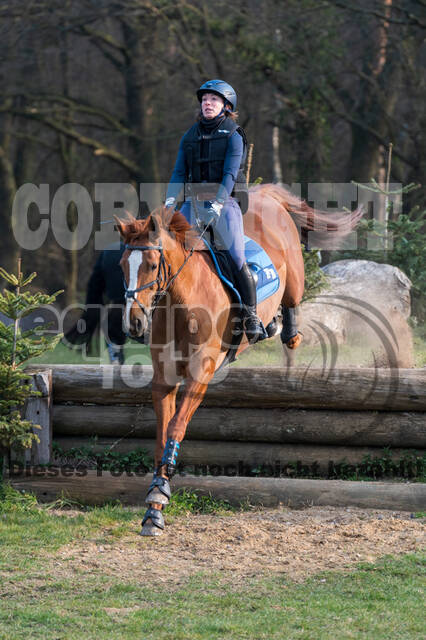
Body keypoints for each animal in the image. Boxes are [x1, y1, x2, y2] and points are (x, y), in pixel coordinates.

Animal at [115, 184, 362, 536]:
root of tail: (266, 194)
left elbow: (176, 427)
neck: (181, 303)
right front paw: (154, 507)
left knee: (292, 305)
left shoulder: (201, 373)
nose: (134, 322)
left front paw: (160, 493)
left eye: (151, 264)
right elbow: (162, 435)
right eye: (122, 265)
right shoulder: (163, 380)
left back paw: (281, 331)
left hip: (294, 277)